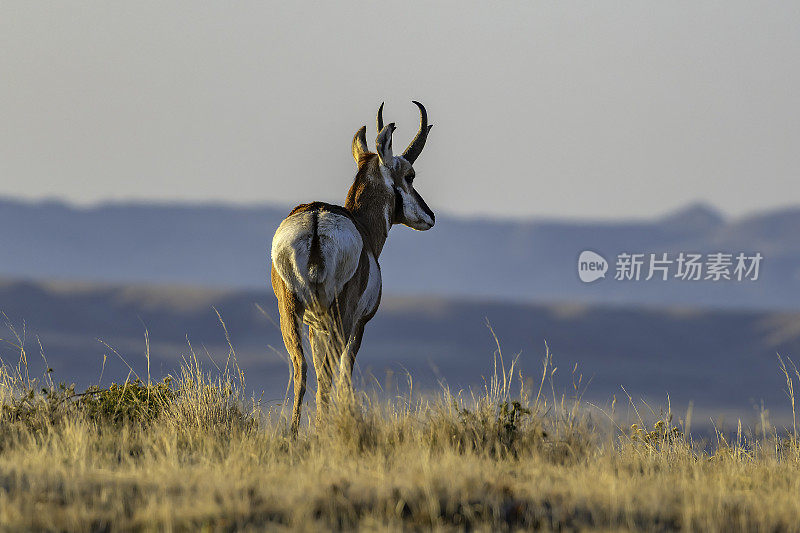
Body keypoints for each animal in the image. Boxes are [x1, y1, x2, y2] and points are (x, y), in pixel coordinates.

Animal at [270, 101, 434, 432]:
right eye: (410, 175)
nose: (430, 216)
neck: (362, 226)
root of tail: (316, 219)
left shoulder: (315, 326)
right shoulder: (359, 326)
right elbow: (345, 375)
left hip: (291, 313)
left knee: (302, 368)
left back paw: (293, 433)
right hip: (339, 318)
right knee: (329, 374)